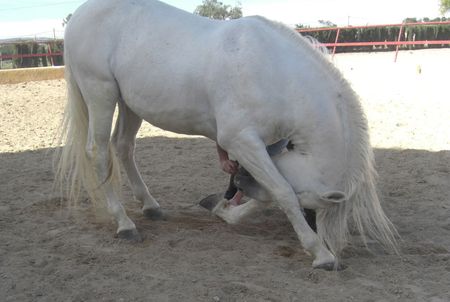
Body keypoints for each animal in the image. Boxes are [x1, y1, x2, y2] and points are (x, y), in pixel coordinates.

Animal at [55, 0, 398, 268]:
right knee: (99, 152)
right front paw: (320, 253)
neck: (277, 73)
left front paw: (224, 209)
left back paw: (150, 206)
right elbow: (282, 191)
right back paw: (124, 223)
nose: (239, 185)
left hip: (130, 104)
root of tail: (80, 14)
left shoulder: (266, 147)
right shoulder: (241, 140)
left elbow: (268, 192)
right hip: (100, 92)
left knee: (124, 147)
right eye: (307, 205)